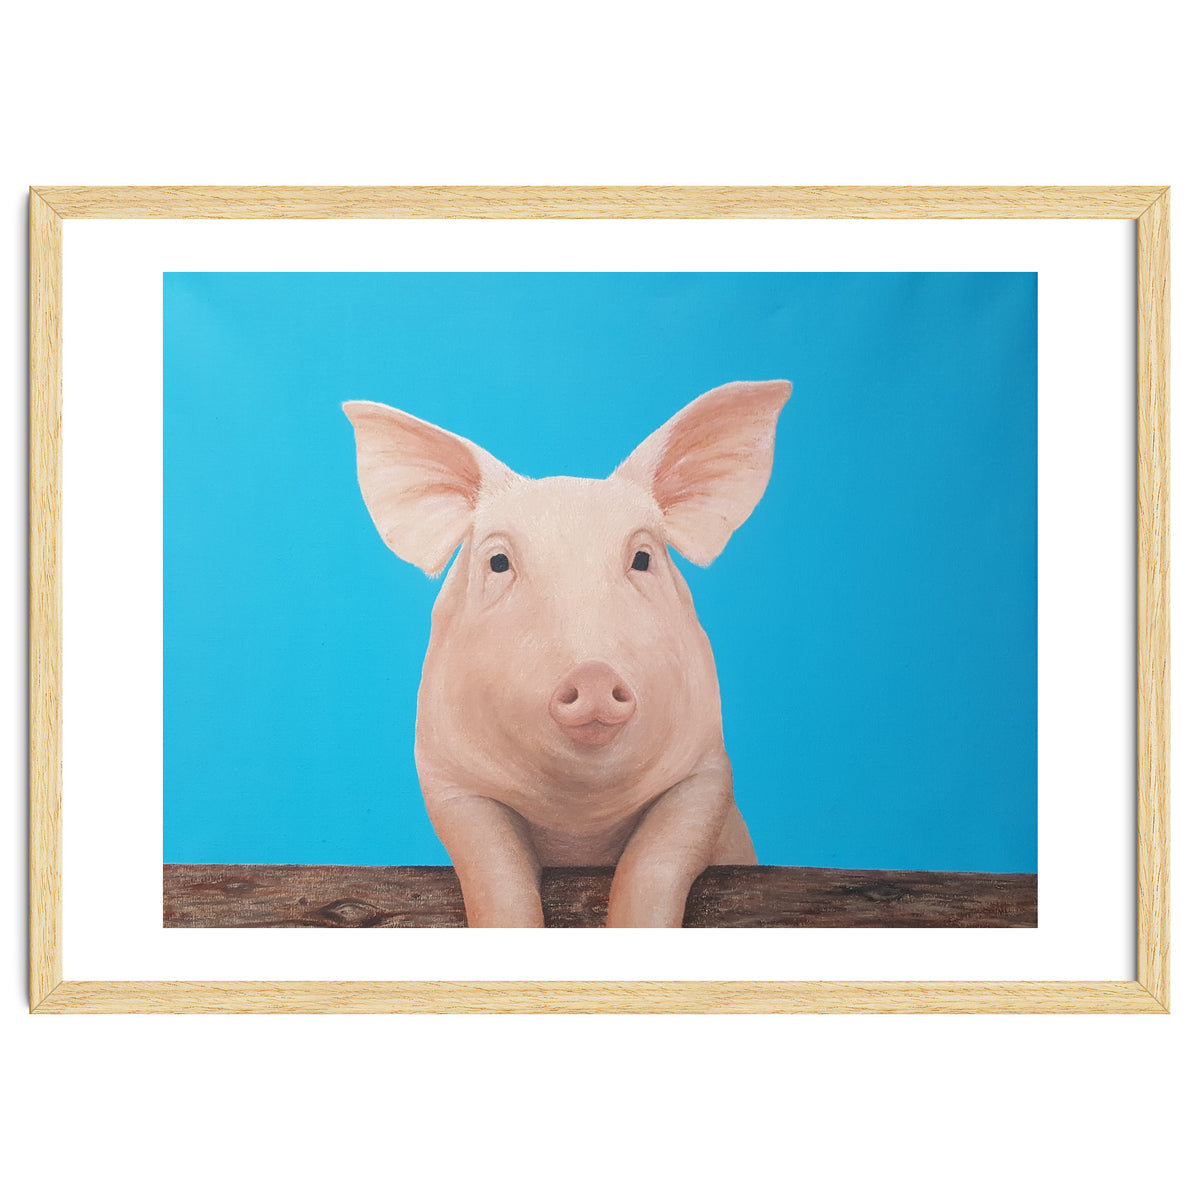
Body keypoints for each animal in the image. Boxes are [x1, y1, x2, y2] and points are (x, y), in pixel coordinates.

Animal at [343, 379, 790, 927]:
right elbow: (495, 871)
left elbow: (655, 862)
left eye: (643, 558)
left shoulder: (707, 770)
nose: (594, 674)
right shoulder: (448, 780)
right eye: (498, 562)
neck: (578, 820)